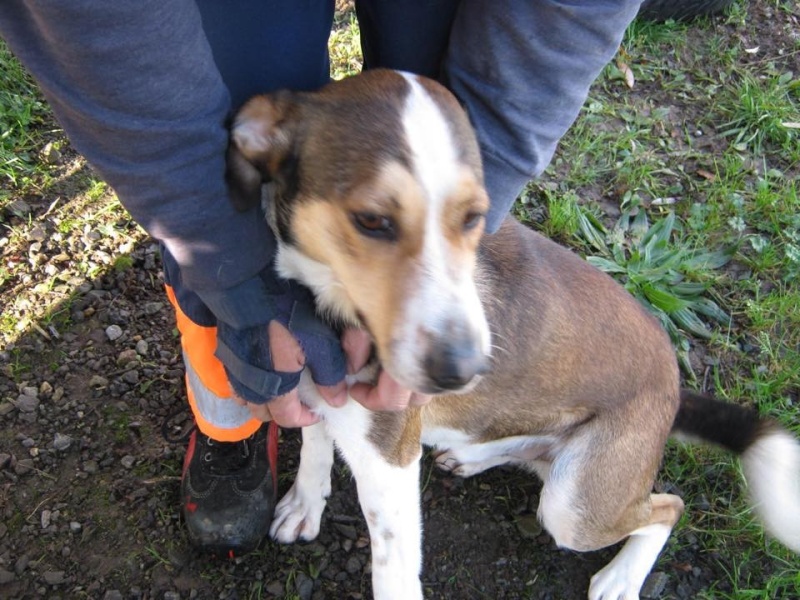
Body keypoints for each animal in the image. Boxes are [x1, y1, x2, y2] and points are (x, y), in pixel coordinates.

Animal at [225, 70, 800, 600]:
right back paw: (473, 455)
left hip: (576, 504)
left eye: (474, 217)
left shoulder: (390, 463)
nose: (464, 370)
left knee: (666, 507)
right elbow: (315, 445)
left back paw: (620, 577)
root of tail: (675, 388)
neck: (321, 305)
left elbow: (392, 575)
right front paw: (305, 503)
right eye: (371, 220)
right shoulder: (316, 386)